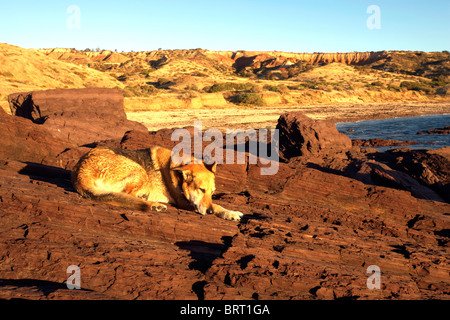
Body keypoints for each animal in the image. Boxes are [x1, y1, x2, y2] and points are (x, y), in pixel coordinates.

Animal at [71, 145, 244, 220]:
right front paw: (229, 212)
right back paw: (154, 205)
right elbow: (216, 205)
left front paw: (230, 212)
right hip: (139, 170)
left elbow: (216, 204)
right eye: (201, 190)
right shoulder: (184, 201)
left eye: (212, 192)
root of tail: (81, 172)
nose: (209, 213)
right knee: (129, 196)